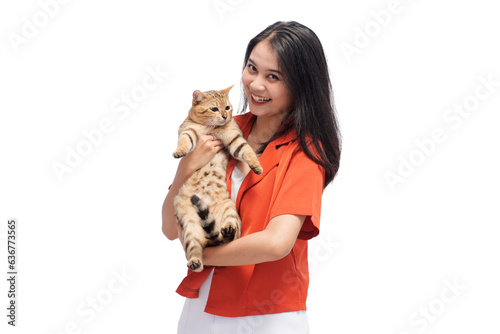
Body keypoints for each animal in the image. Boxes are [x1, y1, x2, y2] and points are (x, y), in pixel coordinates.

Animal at [174, 86, 264, 272]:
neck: (213, 128)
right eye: (214, 109)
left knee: (231, 235)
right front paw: (180, 151)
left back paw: (228, 229)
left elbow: (247, 150)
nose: (224, 116)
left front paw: (256, 166)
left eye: (227, 108)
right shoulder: (188, 130)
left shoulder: (234, 138)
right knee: (195, 249)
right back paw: (195, 261)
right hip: (189, 227)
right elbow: (184, 141)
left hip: (229, 209)